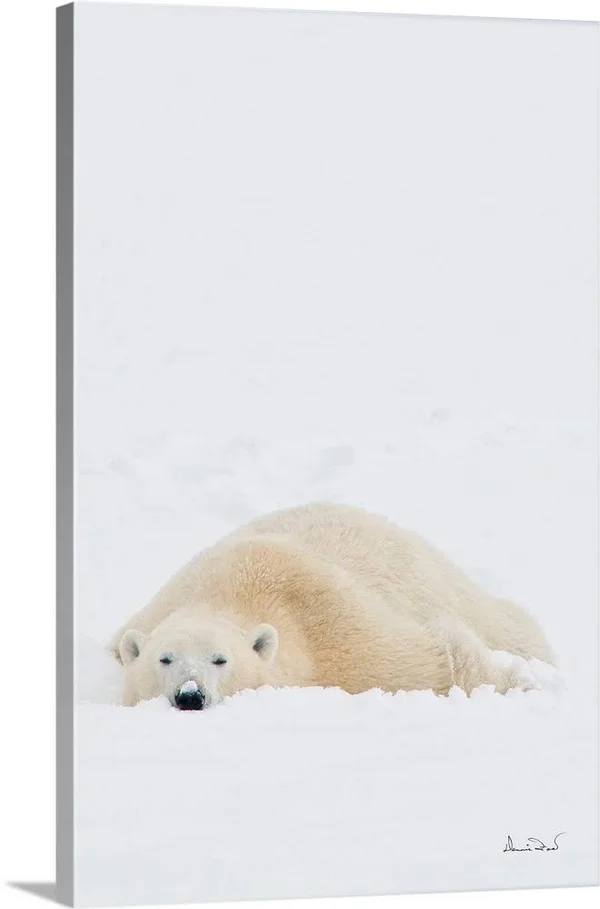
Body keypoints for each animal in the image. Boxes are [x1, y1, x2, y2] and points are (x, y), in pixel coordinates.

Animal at [110, 502, 555, 709]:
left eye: (221, 659)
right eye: (165, 658)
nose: (190, 695)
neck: (234, 590)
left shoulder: (336, 628)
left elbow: (436, 660)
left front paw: (523, 683)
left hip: (440, 579)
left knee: (507, 625)